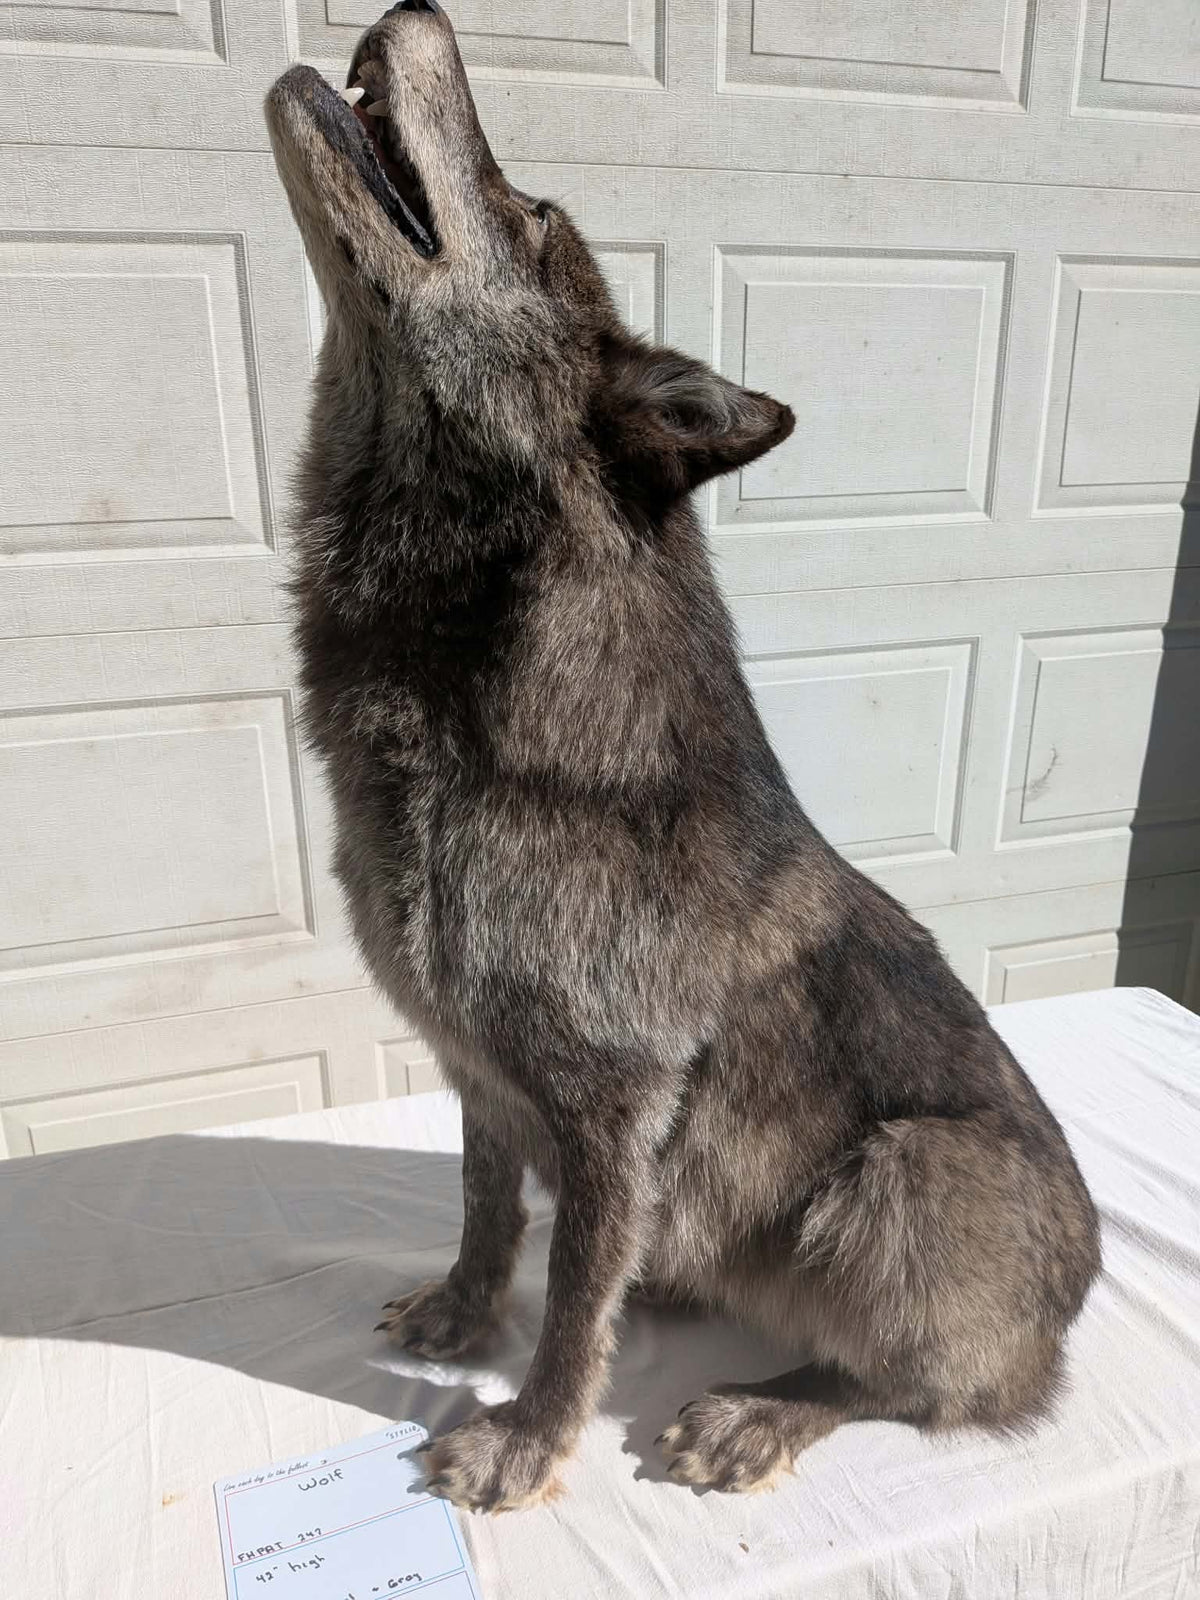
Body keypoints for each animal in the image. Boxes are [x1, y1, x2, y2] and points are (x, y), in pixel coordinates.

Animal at [265, 0, 1101, 1513]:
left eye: (533, 216)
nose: (414, 14)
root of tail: (1067, 1327)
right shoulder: (481, 1070)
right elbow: (490, 1211)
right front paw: (462, 1316)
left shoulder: (615, 1103)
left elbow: (572, 1294)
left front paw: (529, 1436)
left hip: (904, 1172)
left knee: (918, 1389)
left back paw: (760, 1410)